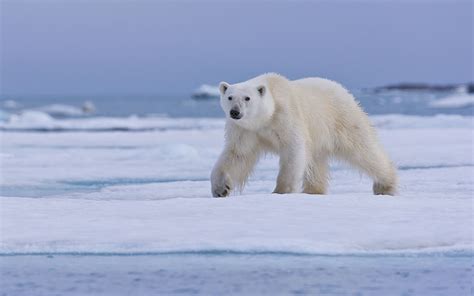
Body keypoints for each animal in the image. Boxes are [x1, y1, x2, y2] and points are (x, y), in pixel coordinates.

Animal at [210, 72, 396, 197]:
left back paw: (386, 185)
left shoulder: (285, 116)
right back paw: (314, 191)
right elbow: (237, 154)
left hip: (341, 118)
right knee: (316, 162)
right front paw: (221, 189)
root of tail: (341, 89)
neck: (265, 118)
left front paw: (281, 191)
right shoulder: (245, 130)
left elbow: (293, 149)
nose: (235, 112)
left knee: (362, 149)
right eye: (230, 97)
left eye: (247, 98)